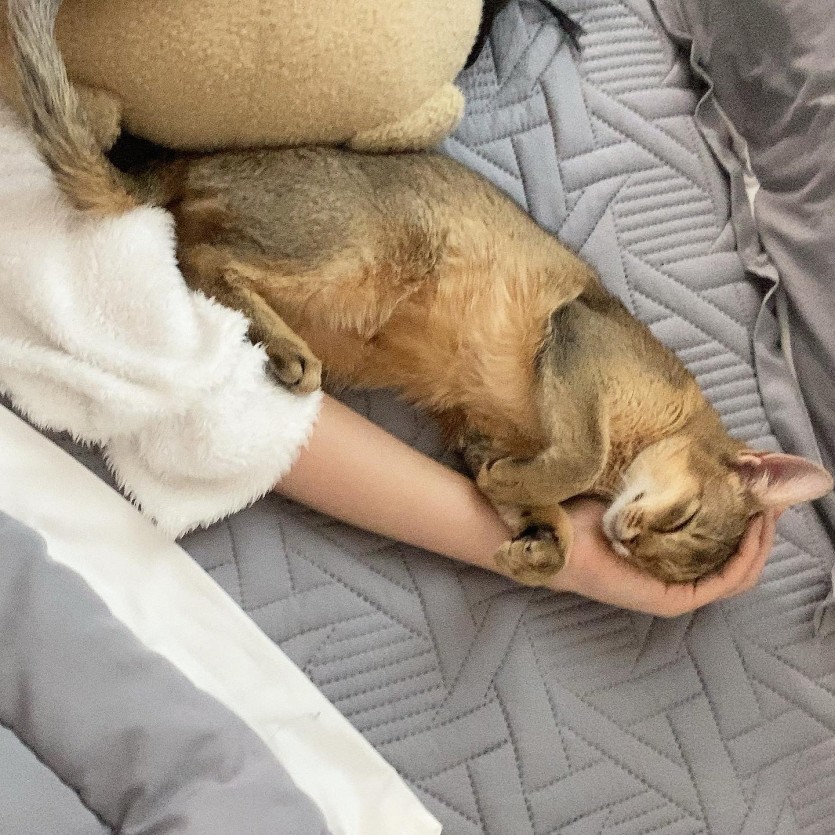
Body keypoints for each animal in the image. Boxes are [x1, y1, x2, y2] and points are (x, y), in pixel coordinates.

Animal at [8, 0, 832, 585]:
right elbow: (577, 456)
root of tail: (186, 165)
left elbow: (533, 501)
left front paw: (540, 538)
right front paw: (553, 502)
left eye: (656, 561)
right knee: (202, 255)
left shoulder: (473, 427)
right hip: (366, 249)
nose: (623, 537)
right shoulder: (575, 332)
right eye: (682, 519)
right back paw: (288, 350)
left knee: (191, 255)